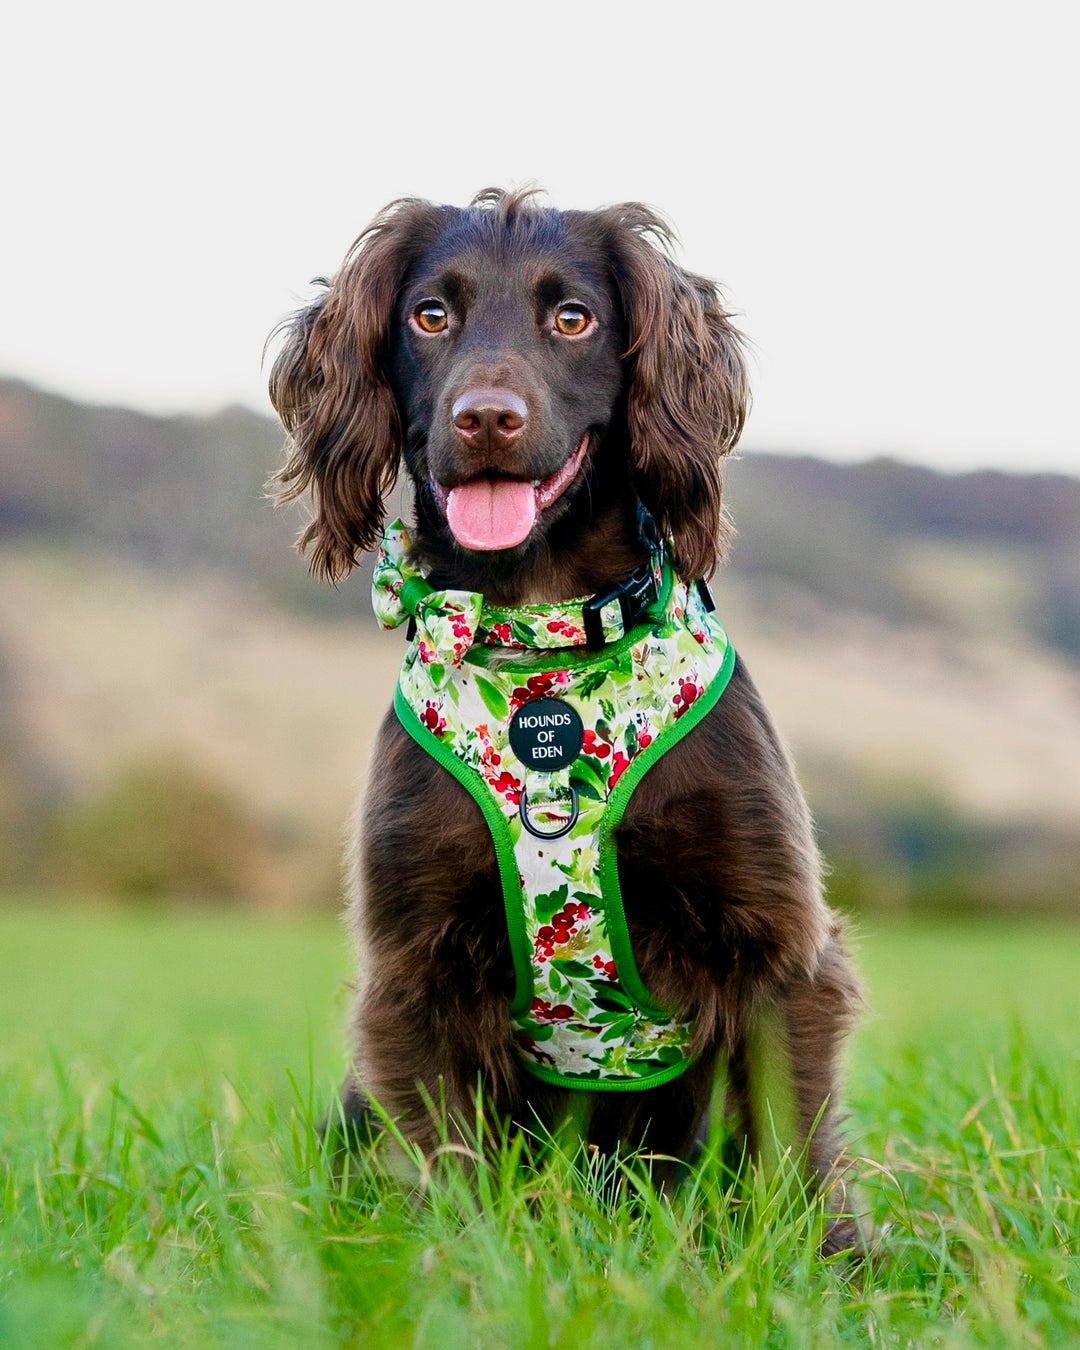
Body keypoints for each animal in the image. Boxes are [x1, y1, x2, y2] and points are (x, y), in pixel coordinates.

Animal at [267, 187, 858, 1242]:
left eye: (573, 318)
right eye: (430, 315)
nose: (487, 418)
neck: (543, 647)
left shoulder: (778, 949)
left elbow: (794, 1154)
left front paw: (829, 1266)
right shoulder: (413, 971)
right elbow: (452, 1168)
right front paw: (466, 1261)